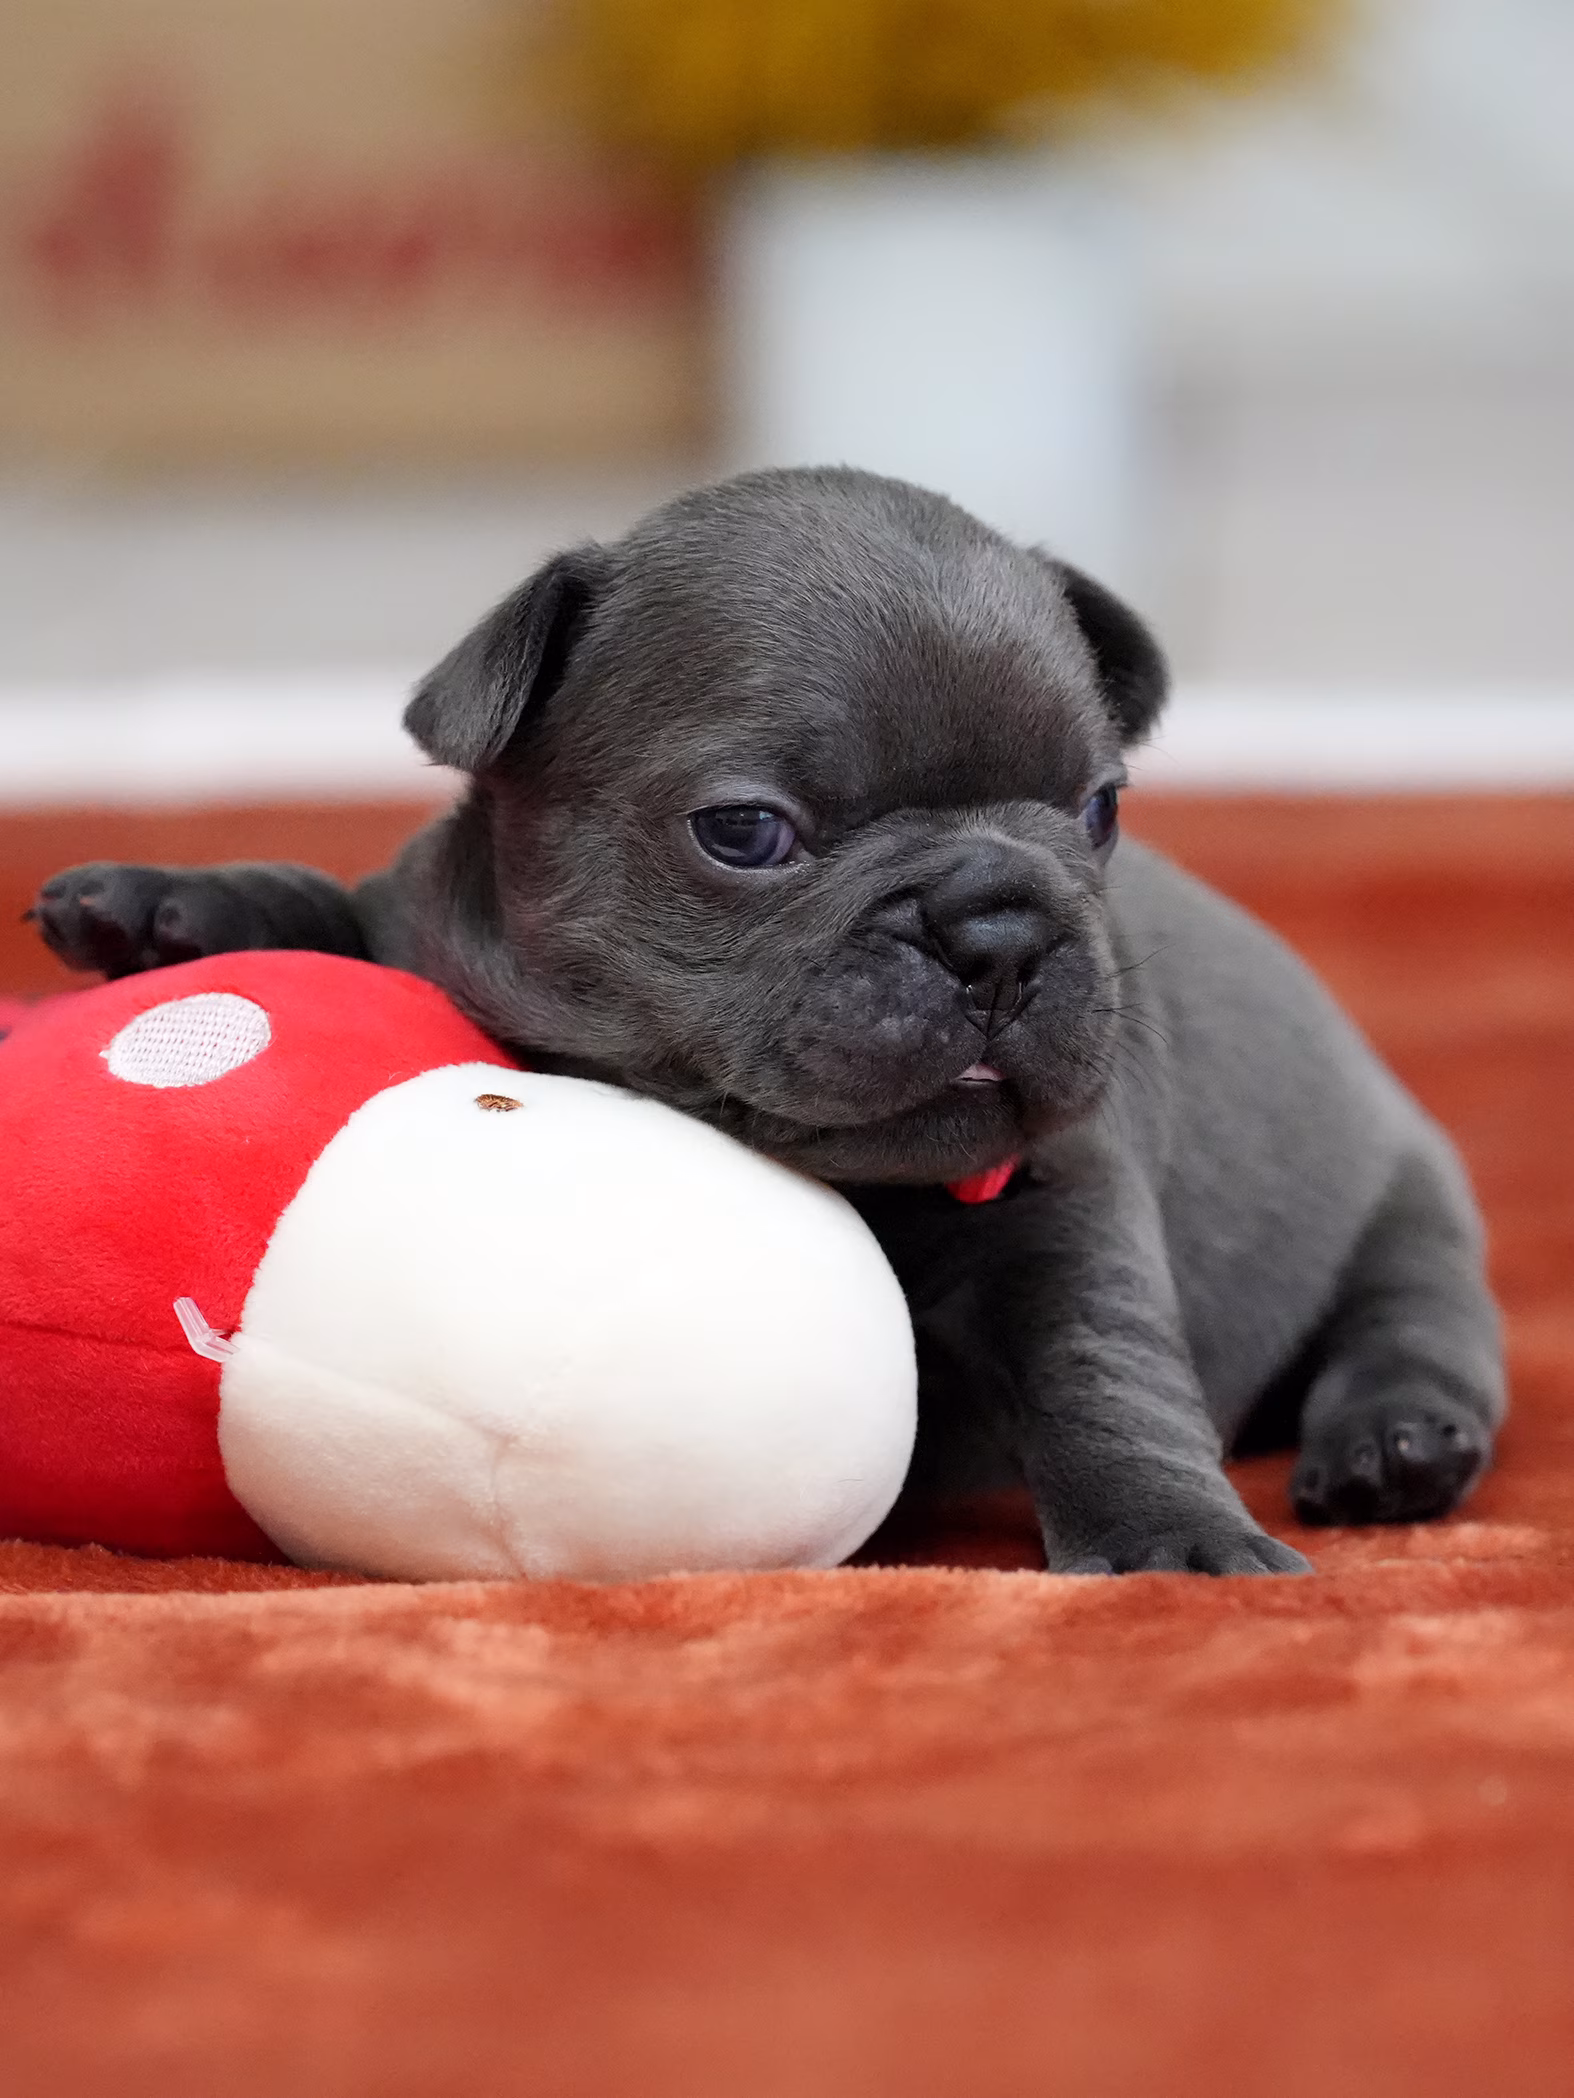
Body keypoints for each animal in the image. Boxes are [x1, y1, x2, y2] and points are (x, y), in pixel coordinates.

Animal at [33, 468, 1505, 1573]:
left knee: (1416, 1325)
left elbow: (1102, 1363)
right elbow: (322, 903)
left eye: (1097, 809)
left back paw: (1390, 1446)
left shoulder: (1070, 1206)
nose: (998, 927)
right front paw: (165, 904)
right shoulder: (418, 928)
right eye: (745, 831)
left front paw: (1174, 1538)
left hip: (1408, 1203)